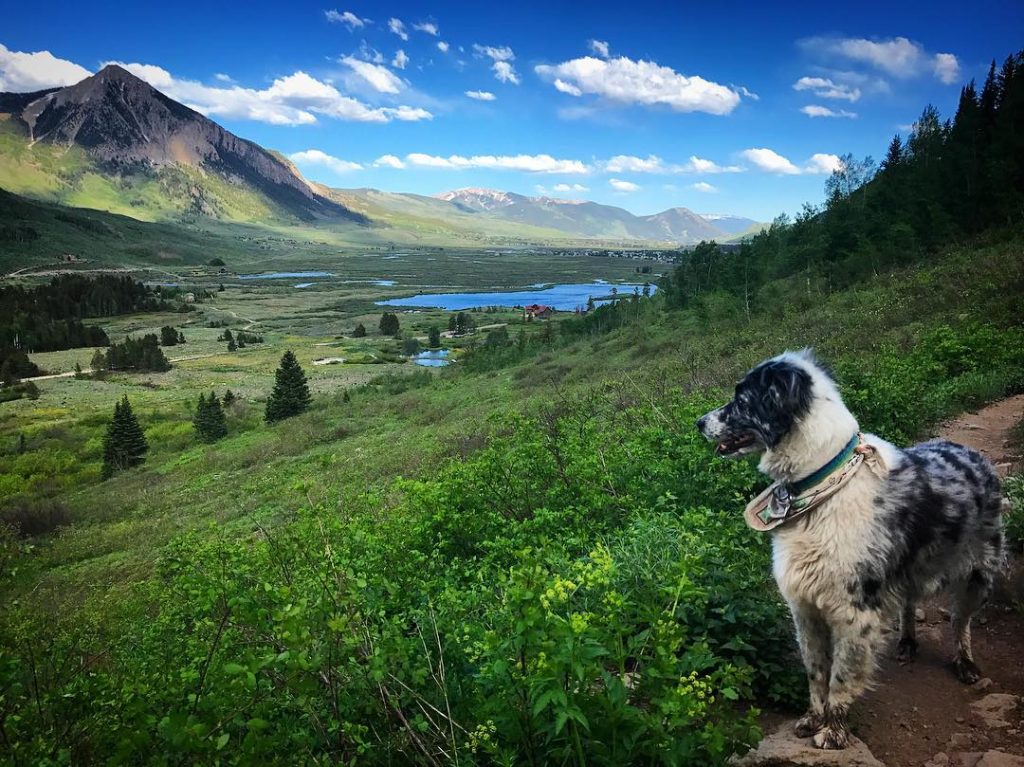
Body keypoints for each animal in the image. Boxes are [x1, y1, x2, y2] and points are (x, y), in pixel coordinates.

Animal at [696, 352, 999, 749]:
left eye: (741, 399)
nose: (699, 422)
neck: (819, 486)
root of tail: (972, 453)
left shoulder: (855, 611)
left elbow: (841, 675)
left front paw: (834, 730)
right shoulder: (804, 607)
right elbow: (815, 672)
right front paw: (813, 718)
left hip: (979, 572)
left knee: (961, 620)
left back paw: (965, 662)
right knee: (909, 601)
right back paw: (907, 642)